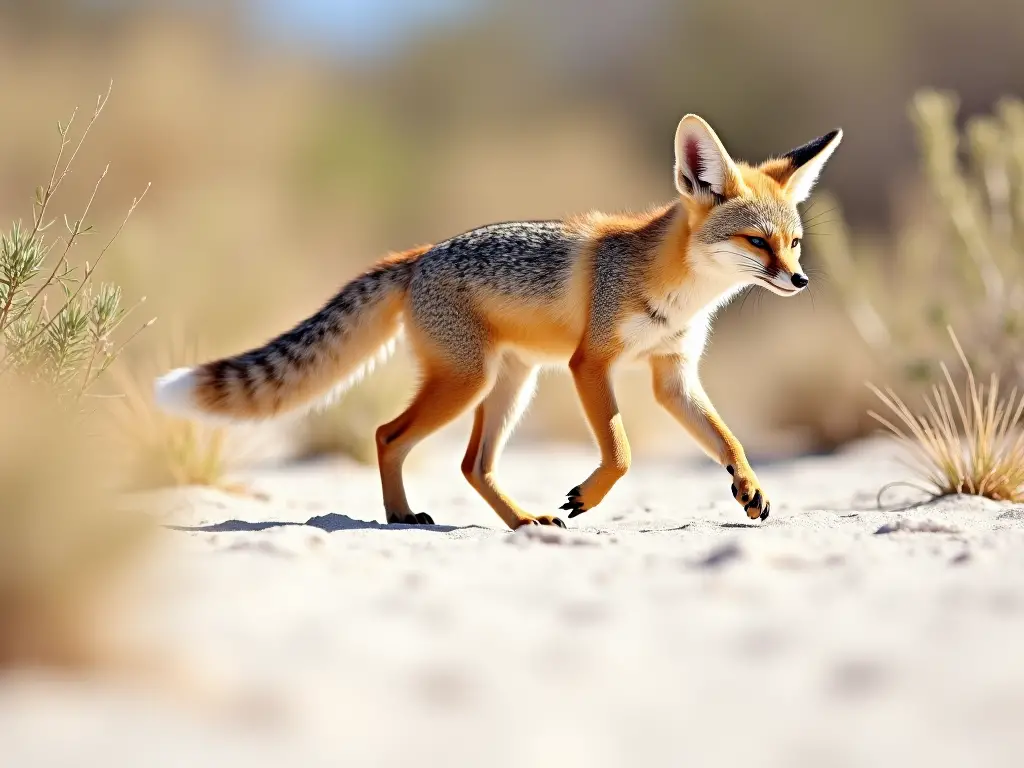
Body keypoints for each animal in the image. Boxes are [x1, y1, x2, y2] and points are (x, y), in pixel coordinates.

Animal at [151, 115, 839, 528]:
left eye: (795, 244)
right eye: (756, 242)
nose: (801, 280)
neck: (679, 292)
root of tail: (418, 255)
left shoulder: (673, 373)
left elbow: (728, 439)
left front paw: (747, 485)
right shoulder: (590, 363)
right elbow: (619, 452)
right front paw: (587, 495)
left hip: (509, 386)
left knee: (470, 466)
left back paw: (521, 523)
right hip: (471, 382)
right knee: (387, 435)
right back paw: (404, 515)